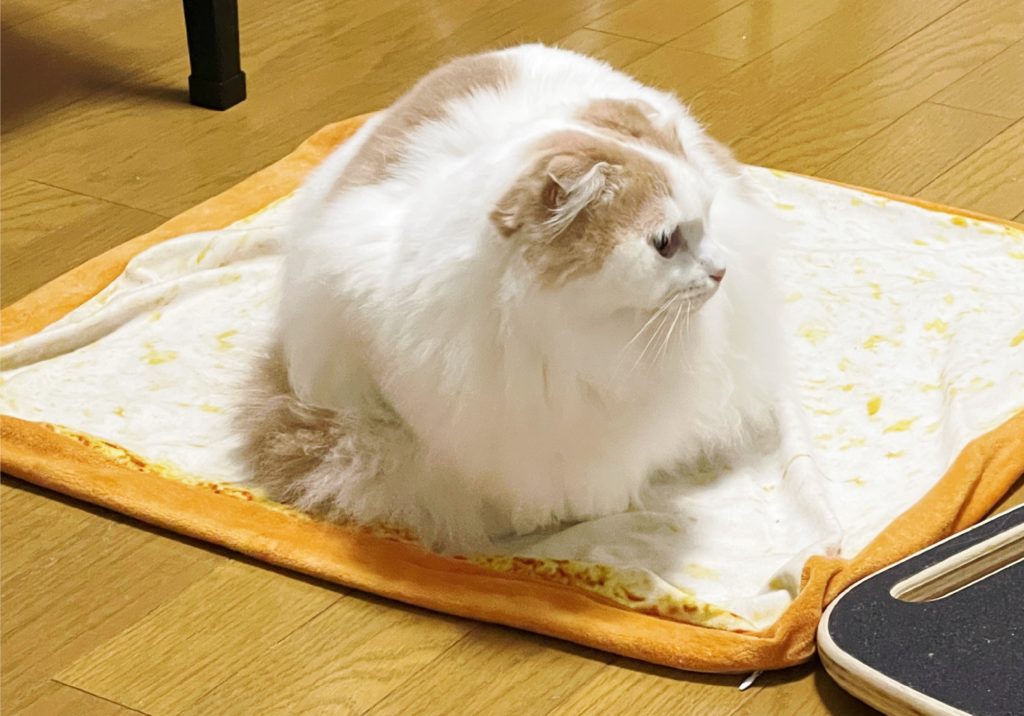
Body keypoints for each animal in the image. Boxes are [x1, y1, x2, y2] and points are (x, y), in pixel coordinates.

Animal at [239, 44, 783, 552]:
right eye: (666, 242)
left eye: (707, 218)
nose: (720, 271)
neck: (570, 340)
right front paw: (526, 520)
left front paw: (597, 509)